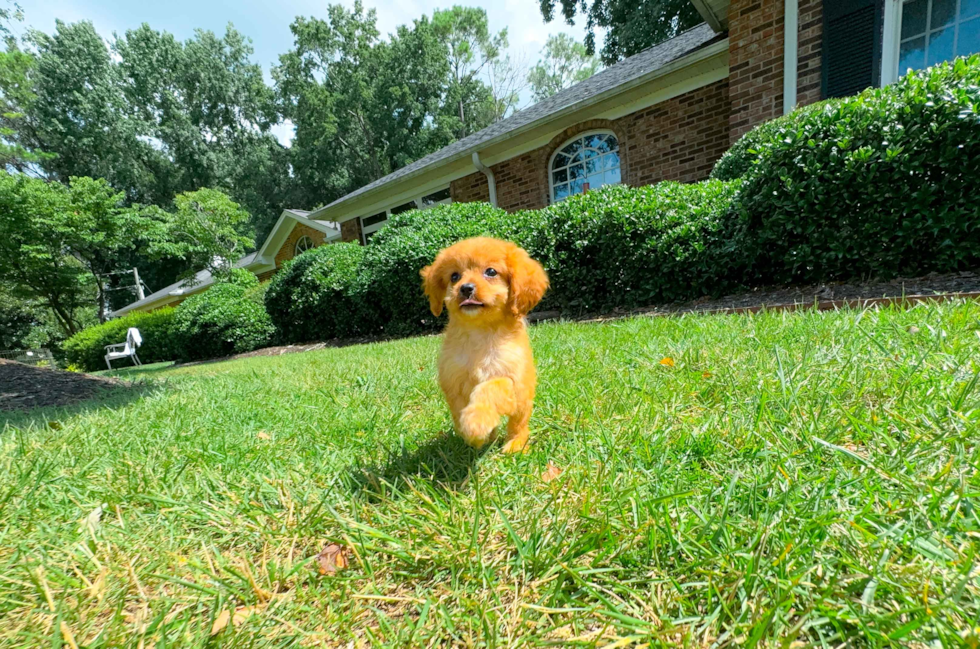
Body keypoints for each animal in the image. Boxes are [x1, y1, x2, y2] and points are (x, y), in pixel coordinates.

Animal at [418, 235, 548, 454]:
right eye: (454, 276)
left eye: (491, 272)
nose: (465, 288)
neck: (480, 332)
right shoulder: (453, 380)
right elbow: (459, 409)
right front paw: (475, 434)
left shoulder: (511, 379)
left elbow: (490, 388)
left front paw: (475, 423)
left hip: (523, 398)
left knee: (518, 425)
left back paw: (515, 444)